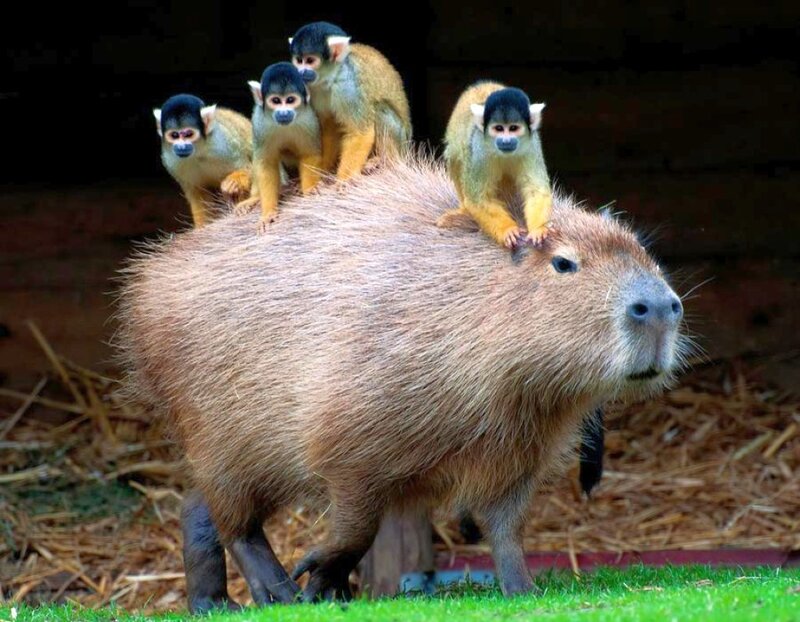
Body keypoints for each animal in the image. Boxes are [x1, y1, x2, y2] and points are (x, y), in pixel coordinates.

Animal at [154, 94, 253, 227]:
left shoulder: (224, 144)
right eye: (174, 135)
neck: (198, 151)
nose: (181, 147)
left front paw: (235, 181)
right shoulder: (171, 161)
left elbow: (249, 168)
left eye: (188, 134)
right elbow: (198, 194)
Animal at [234, 63, 322, 234]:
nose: (283, 112)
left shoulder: (309, 119)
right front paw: (268, 213)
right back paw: (256, 198)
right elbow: (265, 164)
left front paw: (309, 188)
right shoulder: (259, 122)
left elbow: (309, 154)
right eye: (275, 100)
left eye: (290, 100)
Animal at [288, 21, 412, 181]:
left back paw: (385, 161)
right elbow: (330, 127)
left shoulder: (348, 87)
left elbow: (360, 133)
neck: (330, 78)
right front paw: (323, 170)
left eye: (310, 60)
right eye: (298, 60)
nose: (300, 72)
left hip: (401, 141)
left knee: (379, 109)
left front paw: (343, 182)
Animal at [437, 82, 553, 248]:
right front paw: (508, 230)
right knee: (456, 156)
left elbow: (536, 190)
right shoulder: (479, 149)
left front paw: (538, 229)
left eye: (513, 128)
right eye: (498, 128)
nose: (506, 141)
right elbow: (479, 198)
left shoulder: (532, 146)